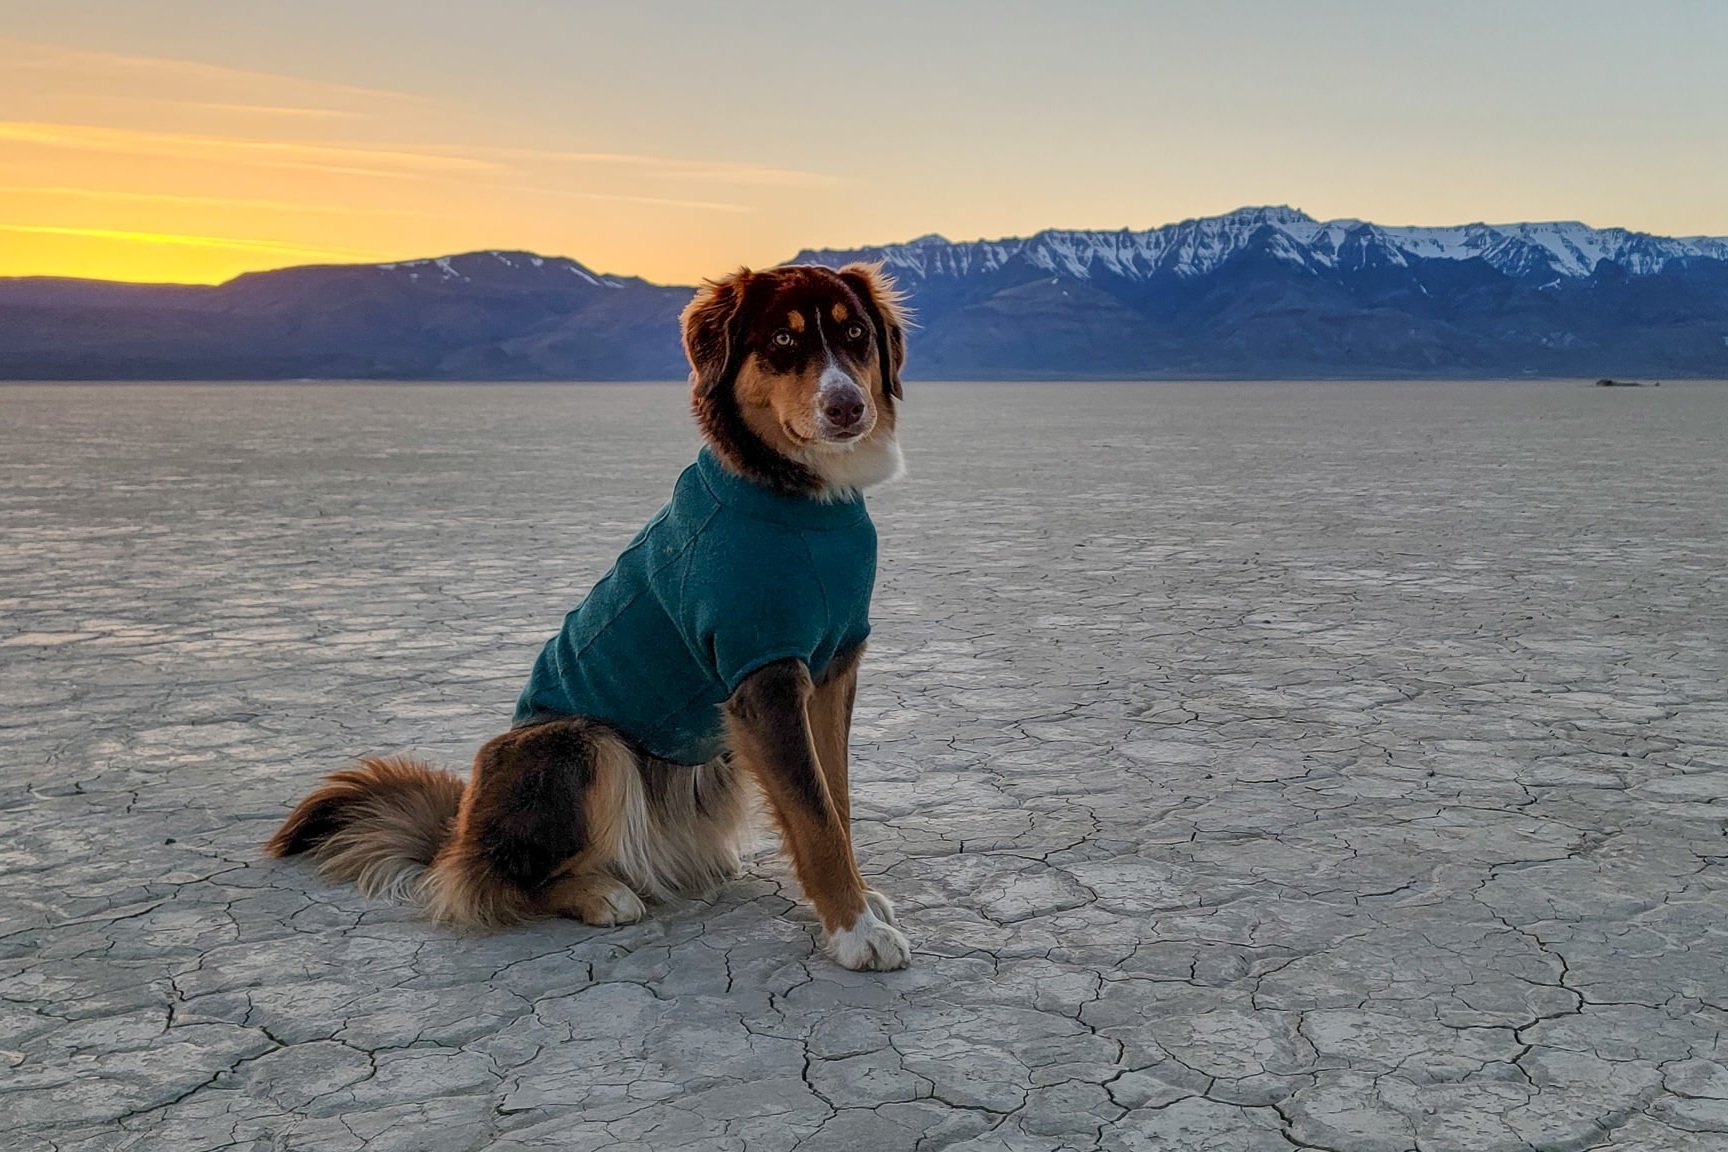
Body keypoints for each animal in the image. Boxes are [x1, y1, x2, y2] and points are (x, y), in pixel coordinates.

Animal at [262, 264, 912, 974]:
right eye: (783, 340)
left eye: (855, 333)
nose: (848, 406)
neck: (799, 497)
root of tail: (457, 833)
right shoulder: (761, 675)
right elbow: (815, 816)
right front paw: (854, 931)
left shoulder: (833, 669)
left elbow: (835, 797)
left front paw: (862, 902)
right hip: (579, 745)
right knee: (500, 881)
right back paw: (600, 894)